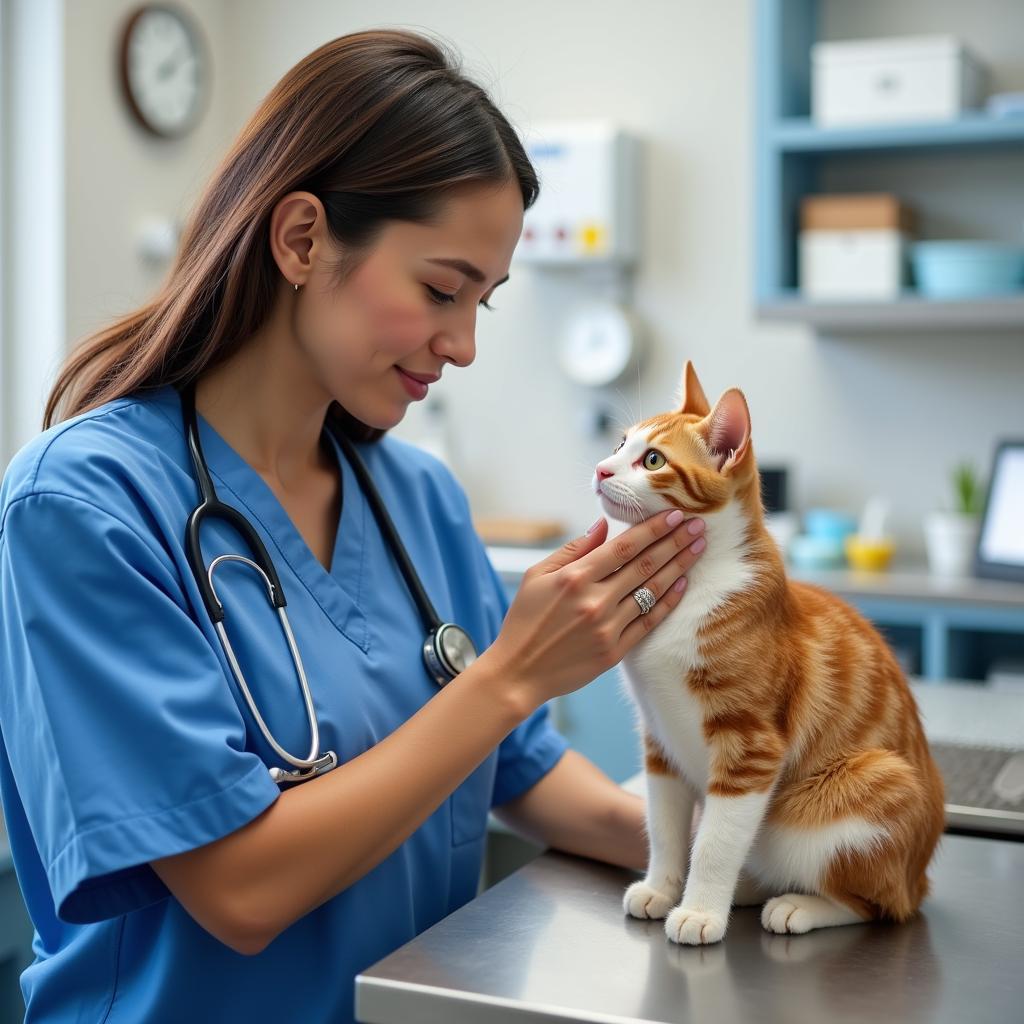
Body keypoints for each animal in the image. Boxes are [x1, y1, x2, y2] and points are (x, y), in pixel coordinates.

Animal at [598, 358, 942, 942]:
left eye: (653, 460)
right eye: (621, 443)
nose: (601, 469)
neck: (695, 585)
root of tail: (919, 875)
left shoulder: (750, 746)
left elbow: (715, 841)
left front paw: (699, 911)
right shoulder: (659, 742)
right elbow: (665, 827)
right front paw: (663, 887)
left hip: (867, 788)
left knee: (878, 904)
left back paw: (797, 906)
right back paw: (750, 888)